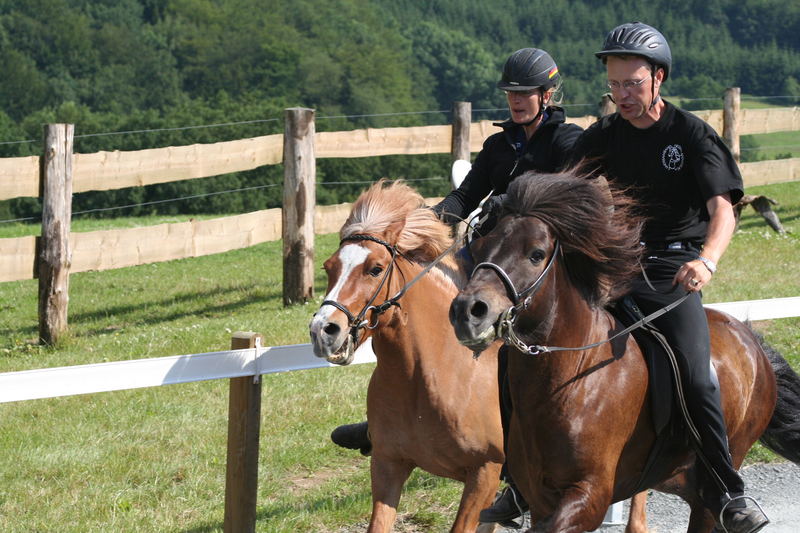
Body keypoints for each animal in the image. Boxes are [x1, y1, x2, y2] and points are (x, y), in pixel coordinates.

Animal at [450, 171, 800, 532]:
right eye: (480, 247)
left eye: (536, 253)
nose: (468, 312)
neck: (573, 374)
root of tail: (751, 340)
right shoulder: (539, 498)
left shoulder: (589, 497)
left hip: (716, 481)